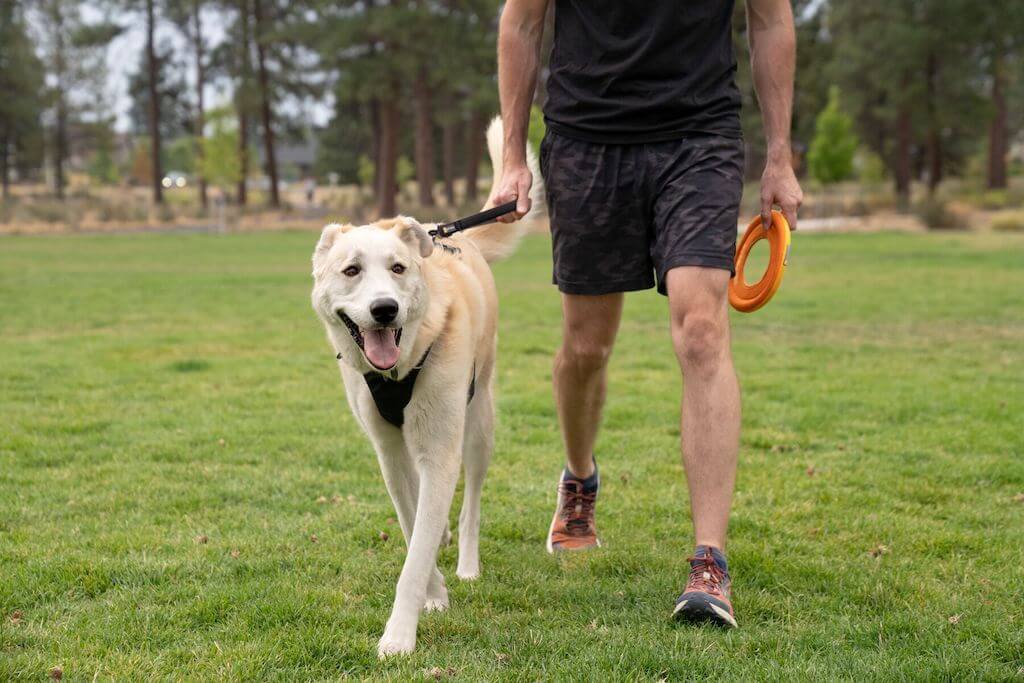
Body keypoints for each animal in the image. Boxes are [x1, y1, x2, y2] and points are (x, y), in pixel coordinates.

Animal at [309, 118, 544, 655]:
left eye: (398, 268)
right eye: (351, 270)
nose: (384, 310)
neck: (401, 366)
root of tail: (453, 237)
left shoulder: (439, 449)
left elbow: (415, 553)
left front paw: (399, 635)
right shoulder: (389, 451)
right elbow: (411, 519)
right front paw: (433, 592)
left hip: (478, 423)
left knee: (472, 501)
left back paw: (467, 561)